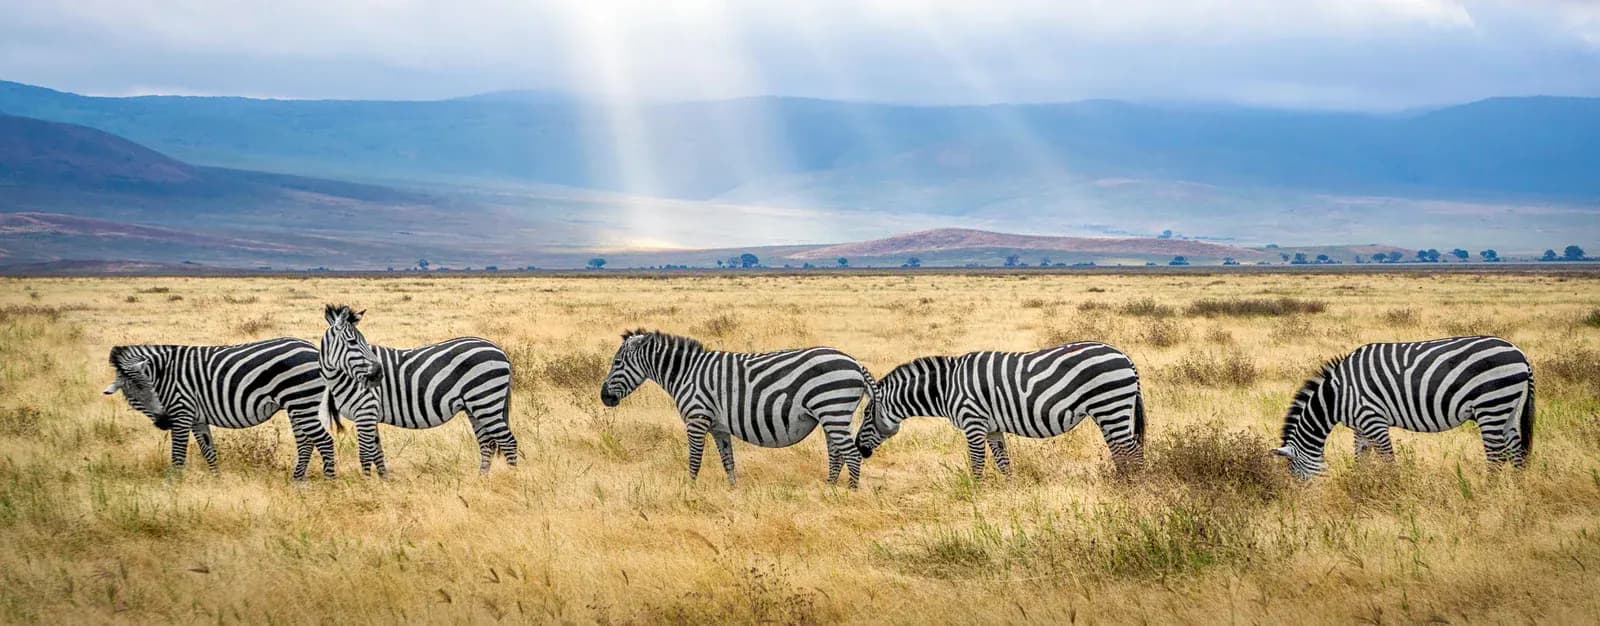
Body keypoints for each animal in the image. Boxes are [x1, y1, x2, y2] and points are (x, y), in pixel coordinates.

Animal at [102, 338, 335, 480]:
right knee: (305, 443)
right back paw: (297, 480)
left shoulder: (181, 412)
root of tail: (313, 348)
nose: (163, 421)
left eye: (152, 388)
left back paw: (329, 482)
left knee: (324, 441)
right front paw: (217, 480)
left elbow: (178, 455)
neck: (164, 374)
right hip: (297, 406)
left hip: (301, 402)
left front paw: (174, 486)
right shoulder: (197, 419)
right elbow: (209, 451)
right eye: (132, 396)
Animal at [318, 304, 518, 476]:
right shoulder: (370, 414)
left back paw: (512, 478)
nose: (378, 374)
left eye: (362, 342)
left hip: (486, 401)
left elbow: (366, 454)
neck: (343, 377)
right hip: (475, 407)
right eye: (352, 342)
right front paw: (384, 482)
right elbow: (377, 453)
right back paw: (481, 480)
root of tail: (500, 349)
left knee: (508, 442)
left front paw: (366, 485)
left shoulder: (365, 411)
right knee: (487, 443)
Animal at [600, 329, 874, 488]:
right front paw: (733, 491)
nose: (604, 397)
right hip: (830, 415)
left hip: (832, 410)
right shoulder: (718, 427)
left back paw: (849, 494)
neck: (686, 373)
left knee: (852, 455)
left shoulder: (697, 419)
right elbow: (728, 461)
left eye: (617, 362)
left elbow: (695, 459)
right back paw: (829, 489)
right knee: (836, 453)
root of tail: (855, 362)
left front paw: (690, 491)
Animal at [855, 342, 1146, 478]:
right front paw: (1010, 493)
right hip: (1110, 411)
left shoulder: (973, 423)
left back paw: (1133, 487)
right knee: (1122, 451)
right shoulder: (992, 428)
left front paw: (975, 494)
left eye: (866, 415)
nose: (859, 448)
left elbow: (977, 463)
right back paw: (1121, 482)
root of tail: (1125, 356)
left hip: (1110, 406)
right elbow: (1003, 463)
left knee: (1132, 451)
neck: (946, 388)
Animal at [1273, 336, 1535, 478]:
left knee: (1496, 456)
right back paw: (1516, 493)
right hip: (1509, 408)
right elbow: (1361, 459)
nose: (1303, 502)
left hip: (1491, 404)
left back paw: (1487, 492)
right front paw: (1360, 485)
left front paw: (1394, 489)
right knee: (1515, 451)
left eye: (1295, 472)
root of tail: (1520, 353)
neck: (1336, 396)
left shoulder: (1373, 419)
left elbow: (1388, 460)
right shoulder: (1360, 426)